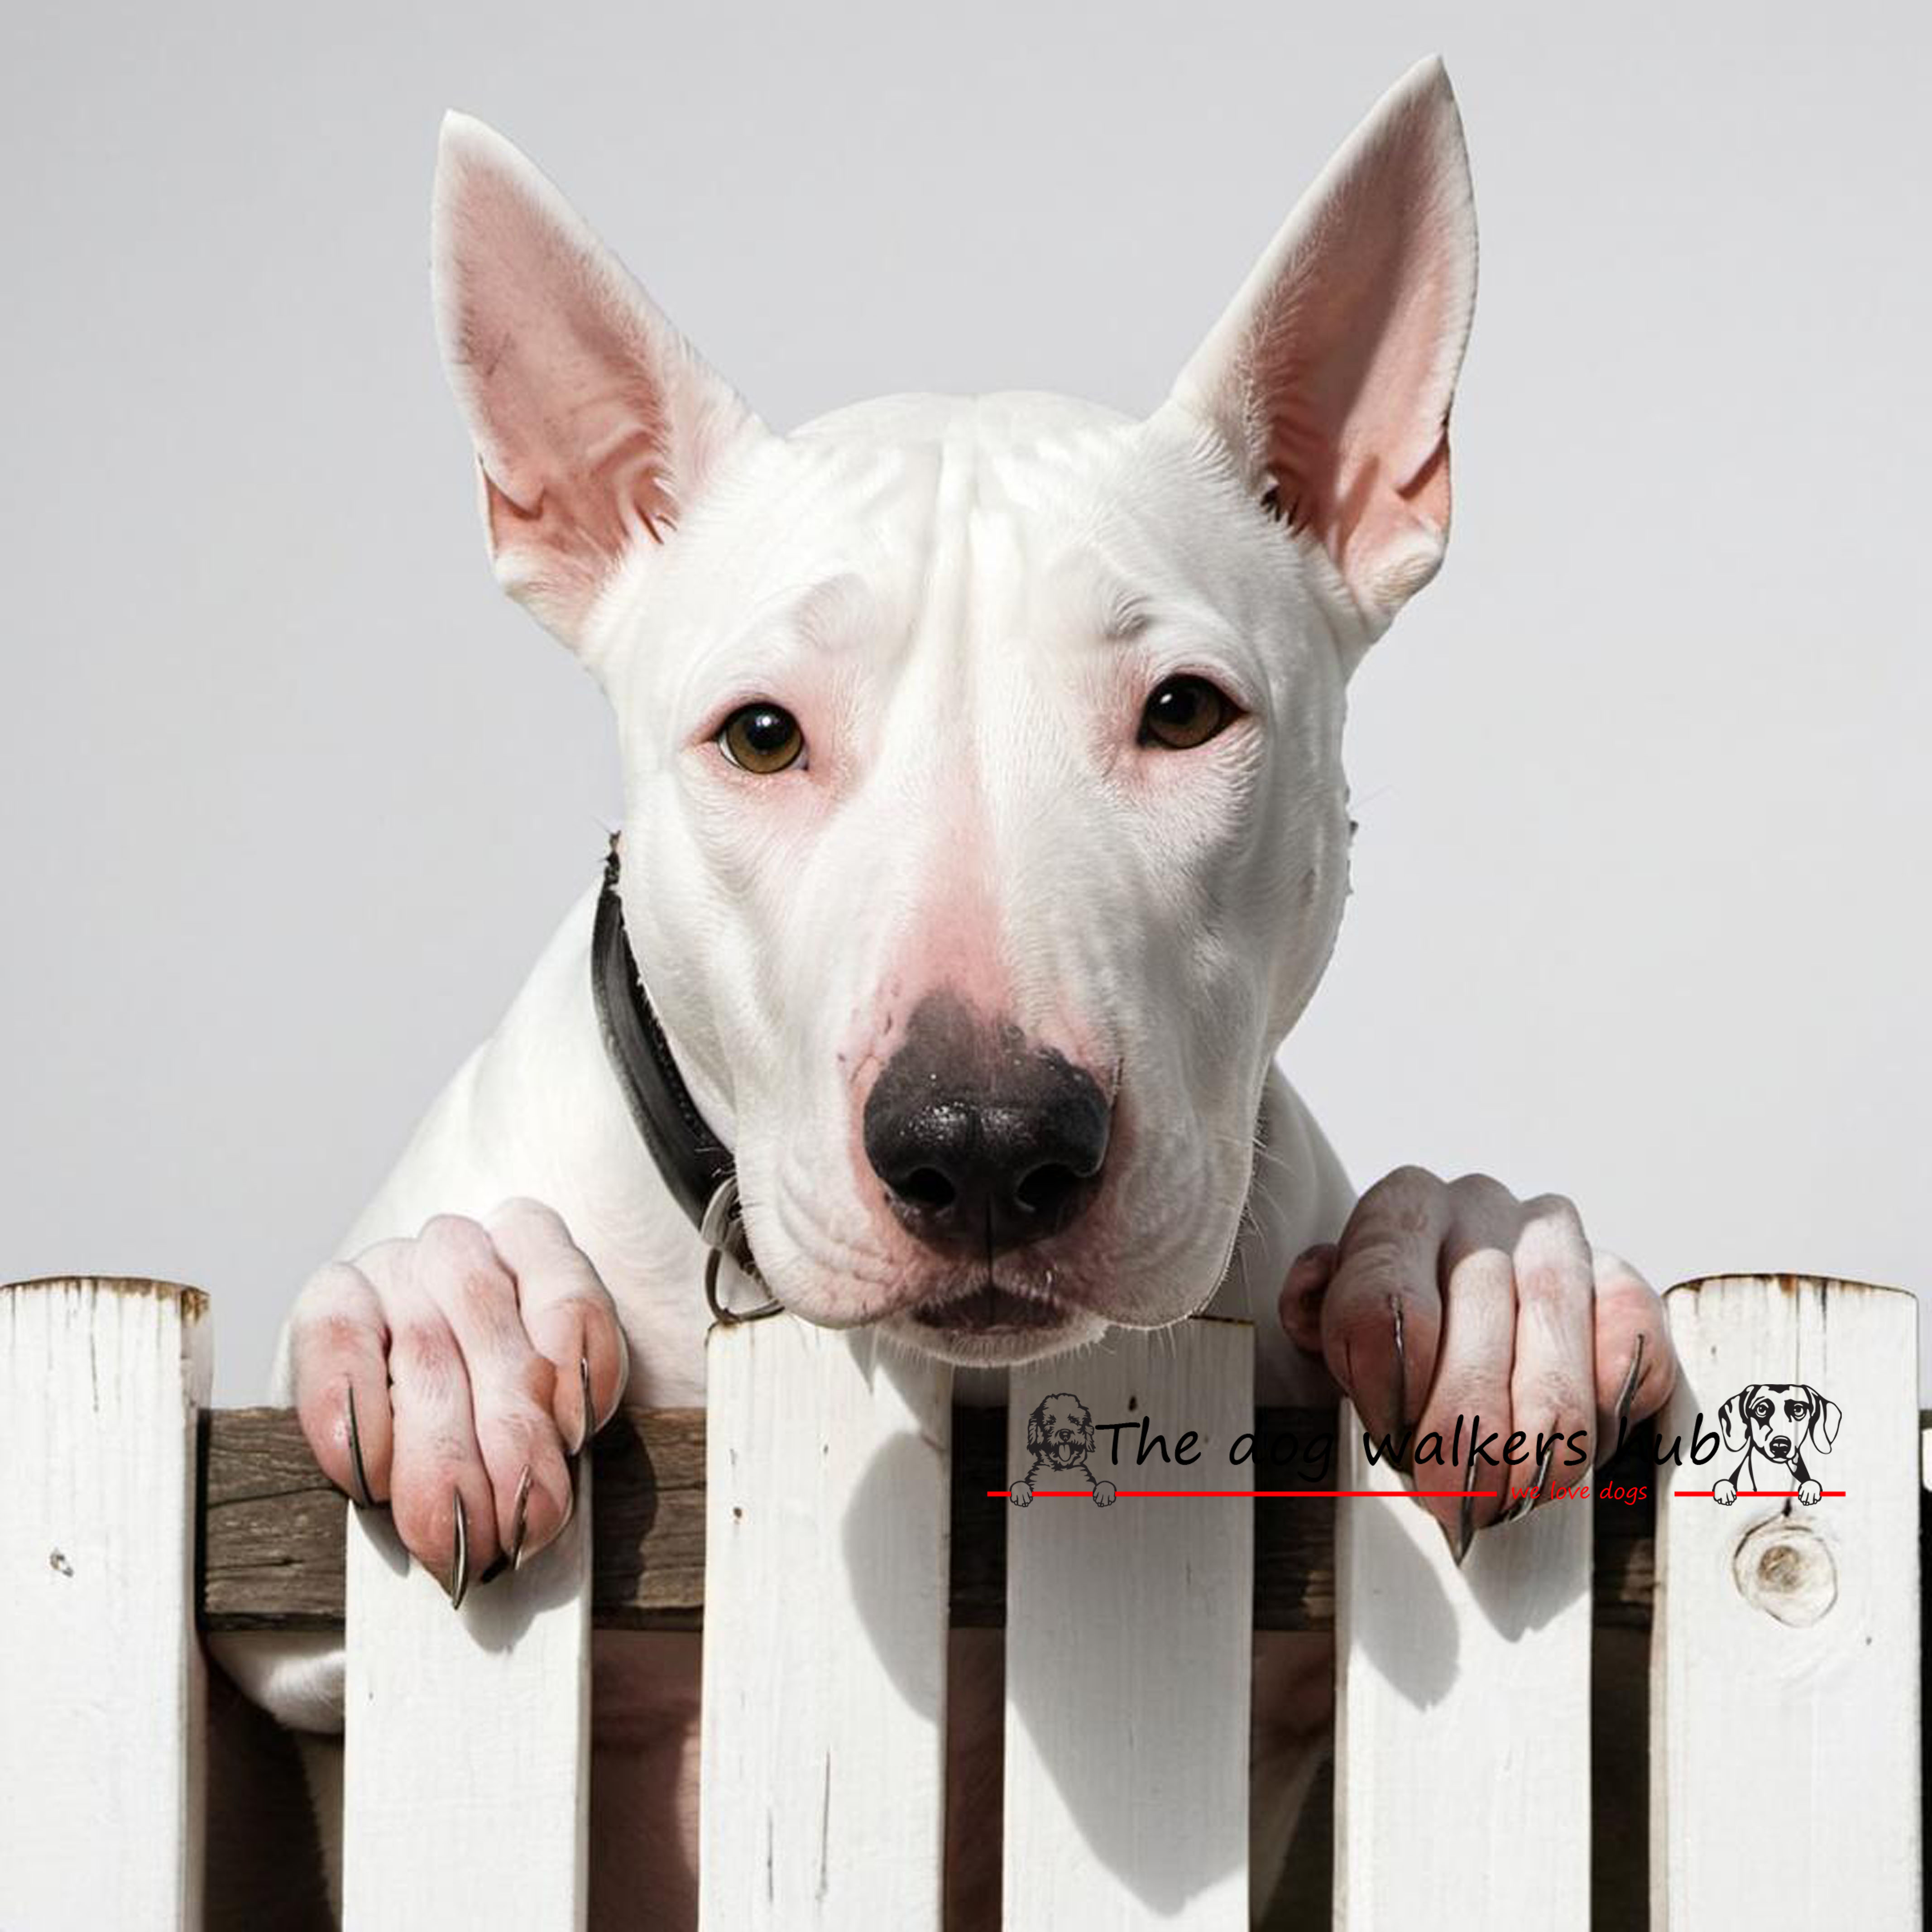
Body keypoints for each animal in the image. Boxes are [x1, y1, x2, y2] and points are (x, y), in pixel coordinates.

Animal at [207, 57, 1679, 1929]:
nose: (982, 1145)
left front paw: (1481, 1269)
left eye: (1183, 710)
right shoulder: (281, 1668)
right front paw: (441, 1317)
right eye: (761, 734)